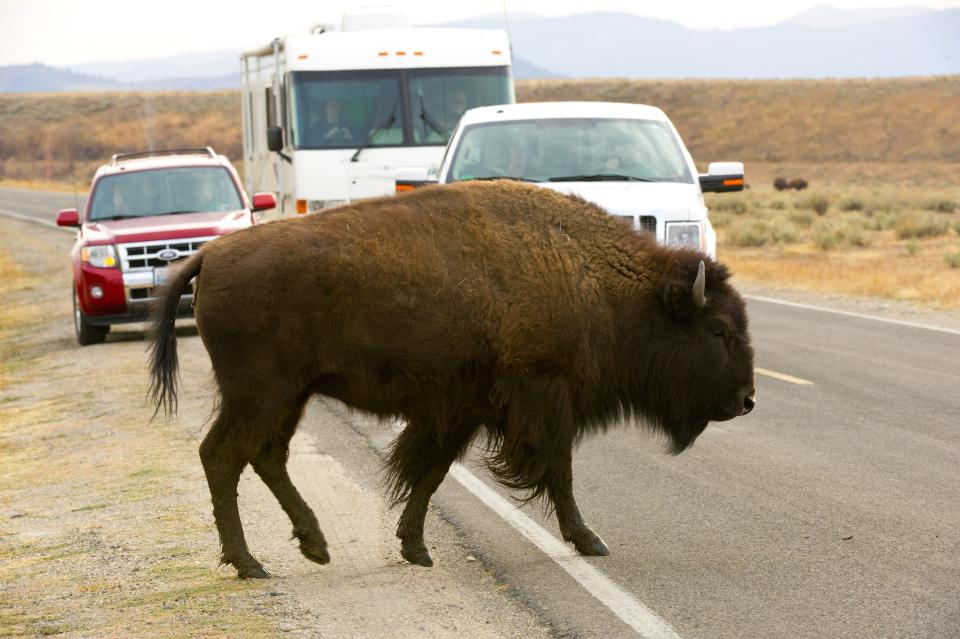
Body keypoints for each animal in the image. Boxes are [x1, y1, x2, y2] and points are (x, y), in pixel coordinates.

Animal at [148, 179, 756, 580]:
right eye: (719, 329)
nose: (747, 399)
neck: (593, 276)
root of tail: (211, 255)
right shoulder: (544, 400)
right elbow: (558, 473)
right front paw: (590, 542)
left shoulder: (461, 409)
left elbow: (430, 473)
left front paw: (415, 548)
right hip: (260, 394)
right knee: (223, 456)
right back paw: (250, 563)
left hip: (288, 397)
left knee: (265, 457)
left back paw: (314, 546)